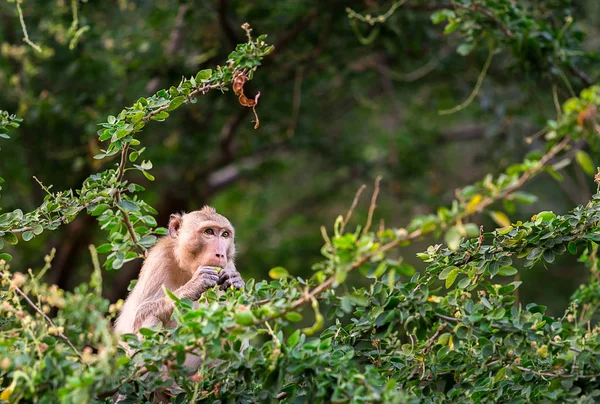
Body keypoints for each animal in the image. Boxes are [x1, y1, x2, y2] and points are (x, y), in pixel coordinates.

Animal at [113, 205, 245, 334]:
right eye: (209, 231)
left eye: (225, 234)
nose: (220, 255)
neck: (186, 268)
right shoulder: (159, 259)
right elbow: (139, 315)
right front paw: (194, 285)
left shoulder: (228, 265)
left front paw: (235, 281)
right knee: (151, 318)